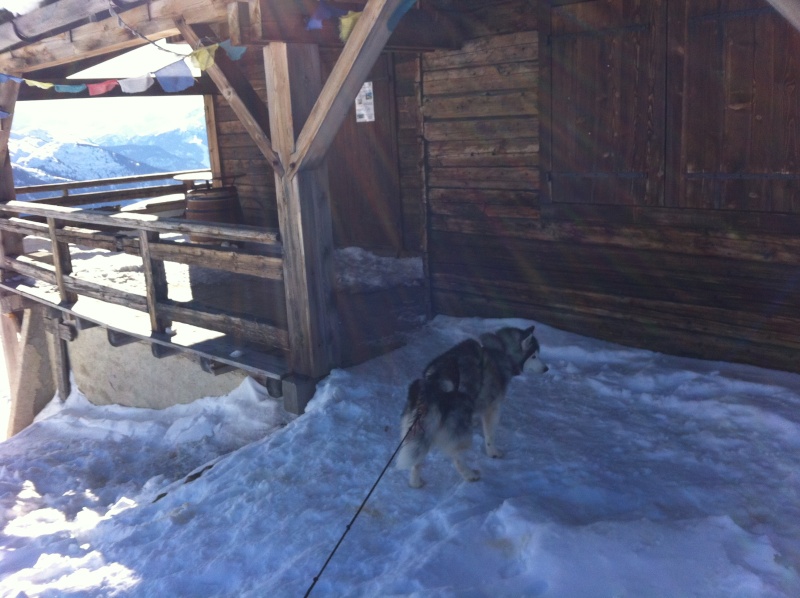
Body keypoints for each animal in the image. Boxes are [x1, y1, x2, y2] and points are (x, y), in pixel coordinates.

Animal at [396, 326, 548, 490]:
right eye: (534, 356)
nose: (546, 368)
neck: (502, 350)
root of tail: (433, 384)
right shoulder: (492, 407)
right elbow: (490, 435)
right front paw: (493, 452)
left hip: (416, 430)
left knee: (417, 460)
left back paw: (415, 482)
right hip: (458, 433)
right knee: (456, 456)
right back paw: (469, 474)